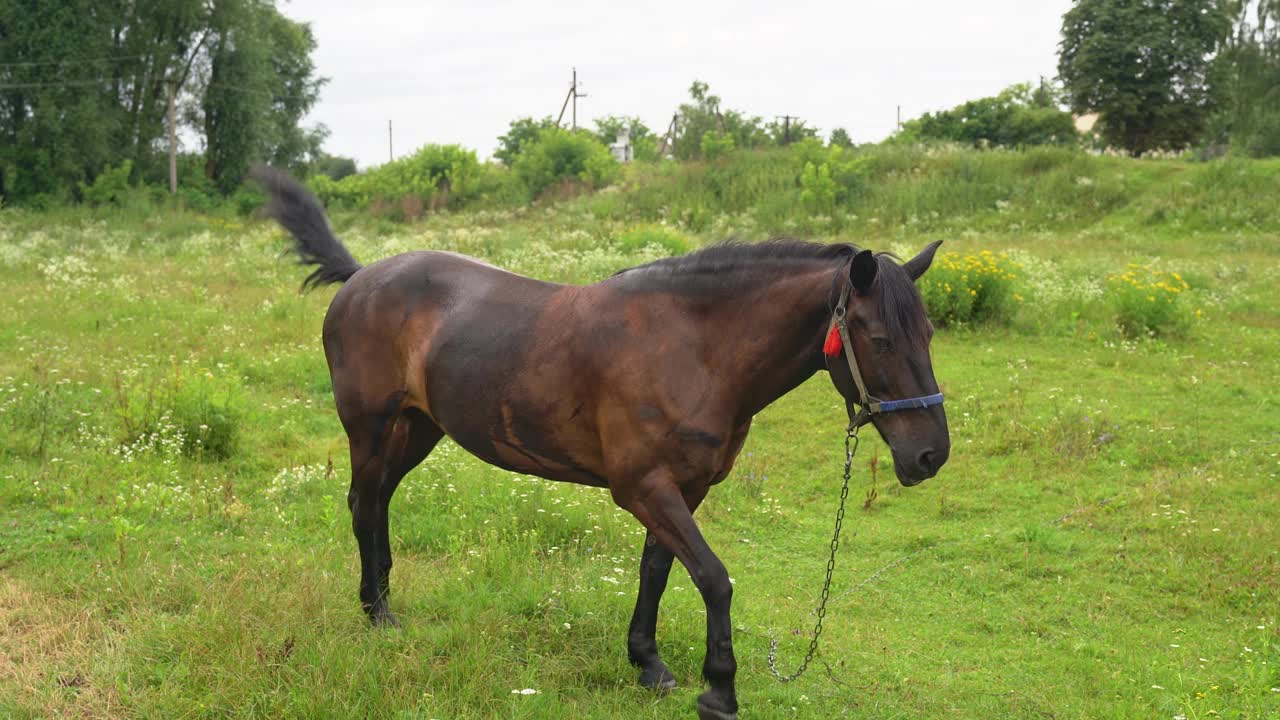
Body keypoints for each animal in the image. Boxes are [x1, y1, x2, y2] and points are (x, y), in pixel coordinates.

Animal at [252, 166, 952, 717]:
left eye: (929, 334)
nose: (930, 455)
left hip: (419, 428)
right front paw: (718, 691)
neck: (692, 347)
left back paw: (381, 602)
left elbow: (658, 571)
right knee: (365, 505)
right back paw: (378, 615)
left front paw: (648, 664)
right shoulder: (642, 487)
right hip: (372, 429)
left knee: (376, 505)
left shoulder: (682, 488)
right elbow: (714, 577)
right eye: (881, 340)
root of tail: (361, 276)